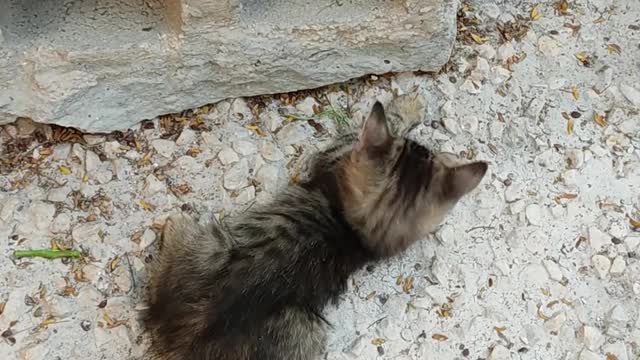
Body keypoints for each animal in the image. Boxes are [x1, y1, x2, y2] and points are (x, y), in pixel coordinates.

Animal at [144, 99, 484, 360]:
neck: (353, 230)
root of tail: (183, 338)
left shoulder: (333, 156)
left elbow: (376, 125)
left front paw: (408, 104)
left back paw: (169, 224)